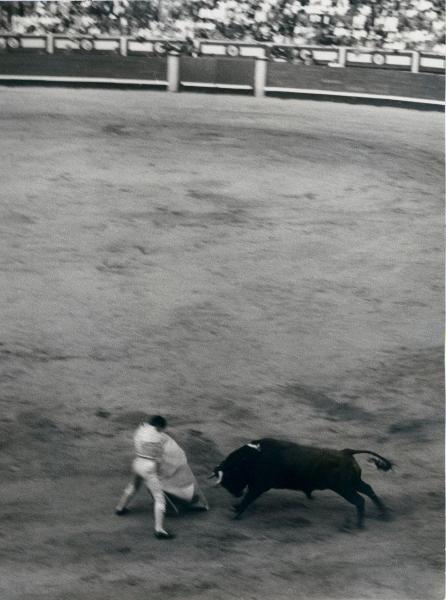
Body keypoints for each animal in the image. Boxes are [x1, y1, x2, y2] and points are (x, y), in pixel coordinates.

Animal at [211, 438, 392, 528]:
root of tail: (346, 452)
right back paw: (383, 514)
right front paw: (236, 507)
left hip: (345, 488)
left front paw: (236, 511)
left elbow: (249, 498)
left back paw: (359, 525)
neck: (253, 457)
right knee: (369, 490)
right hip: (353, 483)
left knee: (360, 500)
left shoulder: (259, 486)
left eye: (229, 477)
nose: (236, 493)